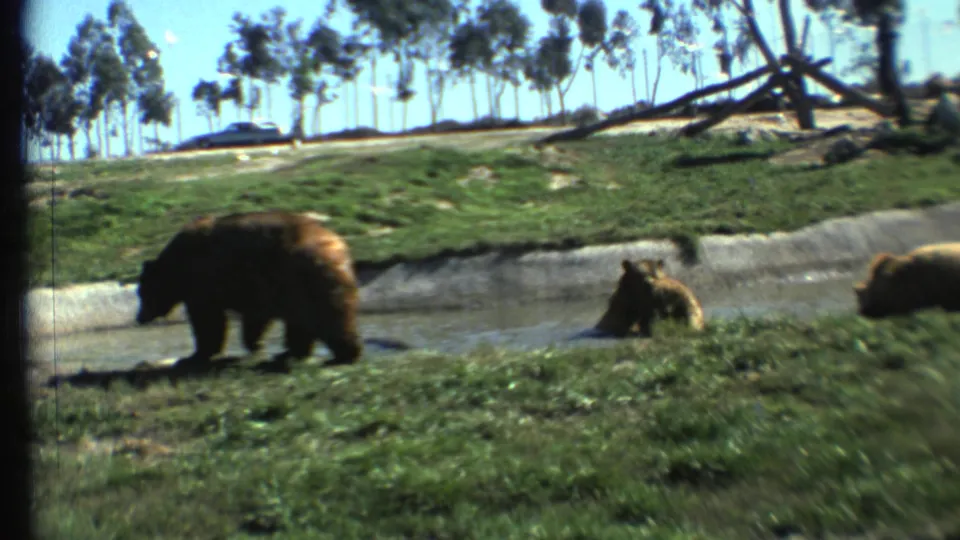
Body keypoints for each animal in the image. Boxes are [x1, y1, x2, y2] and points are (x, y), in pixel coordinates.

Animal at [135, 210, 363, 369]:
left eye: (142, 292)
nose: (140, 317)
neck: (177, 266)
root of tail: (337, 246)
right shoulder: (255, 285)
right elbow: (254, 317)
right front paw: (256, 344)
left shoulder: (208, 279)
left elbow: (208, 320)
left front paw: (196, 355)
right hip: (304, 285)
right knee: (306, 321)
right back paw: (294, 353)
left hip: (301, 278)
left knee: (327, 317)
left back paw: (343, 353)